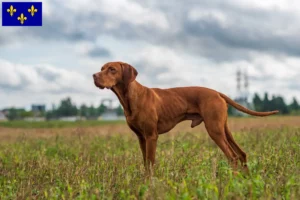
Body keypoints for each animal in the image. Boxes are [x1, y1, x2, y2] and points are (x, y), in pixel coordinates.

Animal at [93, 61, 278, 175]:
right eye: (101, 68)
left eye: (112, 69)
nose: (94, 76)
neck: (131, 98)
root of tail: (217, 92)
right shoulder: (141, 138)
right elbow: (146, 163)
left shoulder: (151, 136)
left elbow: (151, 163)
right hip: (223, 128)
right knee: (241, 154)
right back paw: (245, 179)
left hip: (214, 130)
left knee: (232, 157)